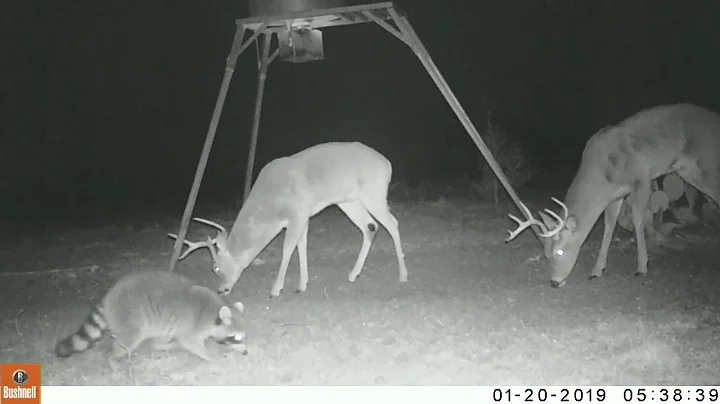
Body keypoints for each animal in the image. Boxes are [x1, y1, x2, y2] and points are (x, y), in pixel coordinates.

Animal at [168, 141, 408, 297]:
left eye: (215, 268)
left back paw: (403, 275)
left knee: (392, 223)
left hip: (374, 193)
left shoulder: (298, 212)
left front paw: (275, 289)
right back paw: (353, 274)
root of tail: (388, 164)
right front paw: (302, 284)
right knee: (370, 226)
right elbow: (301, 245)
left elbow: (287, 248)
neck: (271, 200)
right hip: (349, 201)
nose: (221, 290)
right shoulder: (302, 217)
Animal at [506, 103, 720, 288]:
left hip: (706, 165)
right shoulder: (615, 195)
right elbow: (609, 226)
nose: (554, 282)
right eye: (545, 254)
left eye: (559, 251)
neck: (602, 175)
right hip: (690, 172)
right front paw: (597, 270)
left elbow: (638, 220)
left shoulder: (642, 178)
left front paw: (642, 267)